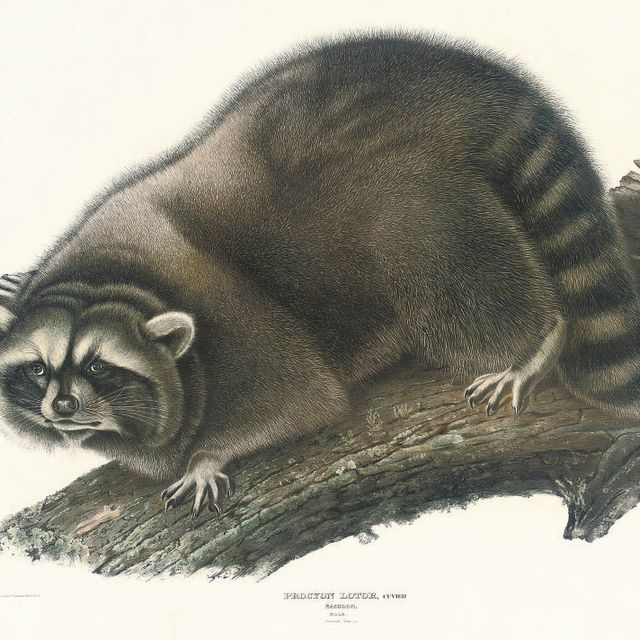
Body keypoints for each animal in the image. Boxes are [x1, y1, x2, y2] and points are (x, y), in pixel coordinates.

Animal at [0, 33, 637, 517]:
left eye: (99, 367)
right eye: (37, 369)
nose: (62, 407)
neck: (111, 278)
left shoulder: (234, 317)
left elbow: (302, 400)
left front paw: (208, 455)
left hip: (411, 193)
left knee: (442, 264)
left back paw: (537, 340)